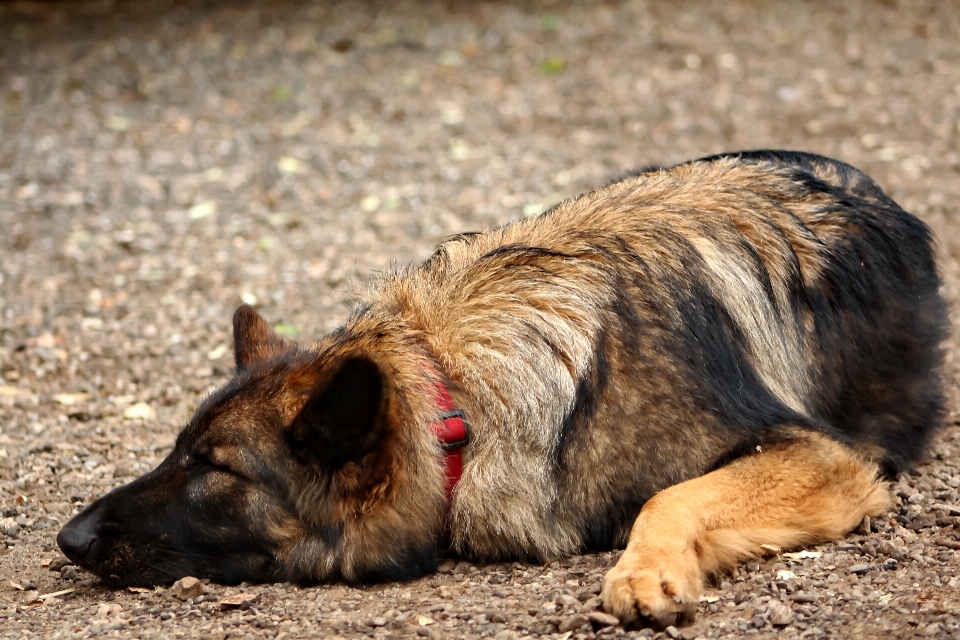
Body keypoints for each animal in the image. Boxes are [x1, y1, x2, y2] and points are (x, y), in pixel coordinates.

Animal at [56, 152, 940, 628]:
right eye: (176, 452)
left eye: (216, 471)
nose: (68, 538)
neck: (457, 400)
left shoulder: (824, 458)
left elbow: (673, 495)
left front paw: (644, 571)